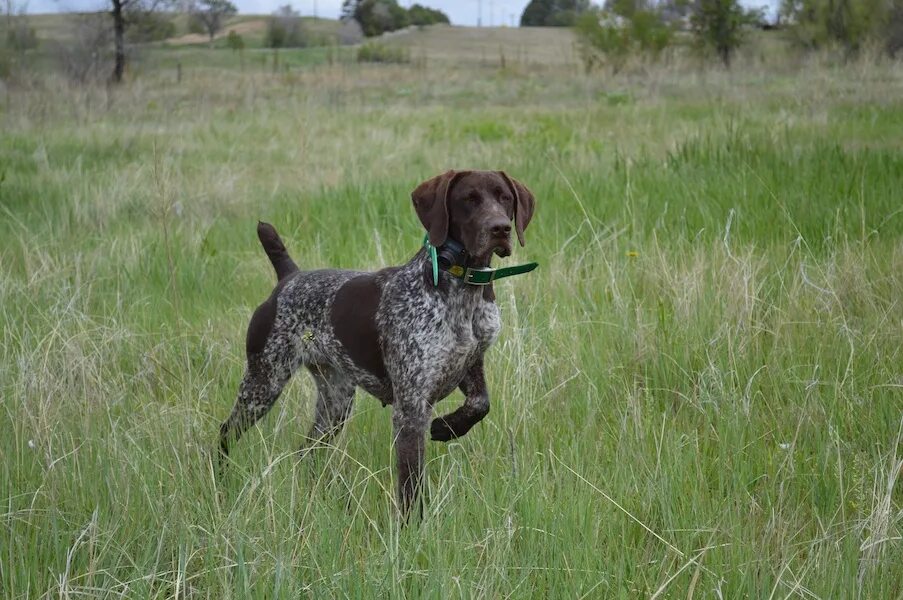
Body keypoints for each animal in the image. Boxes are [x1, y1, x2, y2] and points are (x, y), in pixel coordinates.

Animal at [219, 170, 536, 516]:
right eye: (469, 199)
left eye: (504, 198)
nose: (500, 228)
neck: (462, 289)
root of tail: (289, 278)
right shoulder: (410, 408)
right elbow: (411, 484)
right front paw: (413, 524)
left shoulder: (471, 364)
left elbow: (481, 404)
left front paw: (447, 428)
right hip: (264, 382)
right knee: (226, 432)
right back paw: (221, 483)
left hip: (335, 401)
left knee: (306, 450)